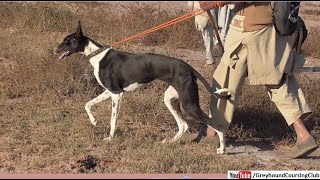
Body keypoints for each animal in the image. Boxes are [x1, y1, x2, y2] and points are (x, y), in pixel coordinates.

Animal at [54, 21, 230, 154]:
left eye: (67, 41)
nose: (54, 50)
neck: (97, 55)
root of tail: (190, 68)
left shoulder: (116, 94)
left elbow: (113, 120)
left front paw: (110, 138)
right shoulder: (109, 91)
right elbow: (88, 104)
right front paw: (94, 120)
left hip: (189, 104)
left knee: (217, 125)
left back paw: (222, 149)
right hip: (170, 99)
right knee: (183, 125)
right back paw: (169, 142)